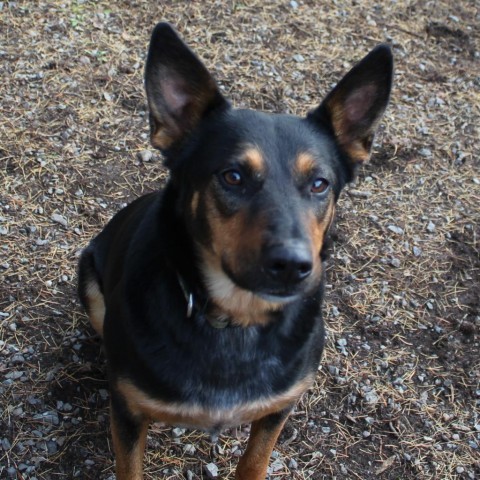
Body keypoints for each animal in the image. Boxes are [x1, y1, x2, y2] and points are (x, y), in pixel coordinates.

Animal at [78, 22, 394, 480]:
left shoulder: (278, 409)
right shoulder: (129, 415)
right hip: (87, 276)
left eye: (319, 184)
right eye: (232, 176)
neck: (236, 320)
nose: (292, 266)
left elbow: (255, 460)